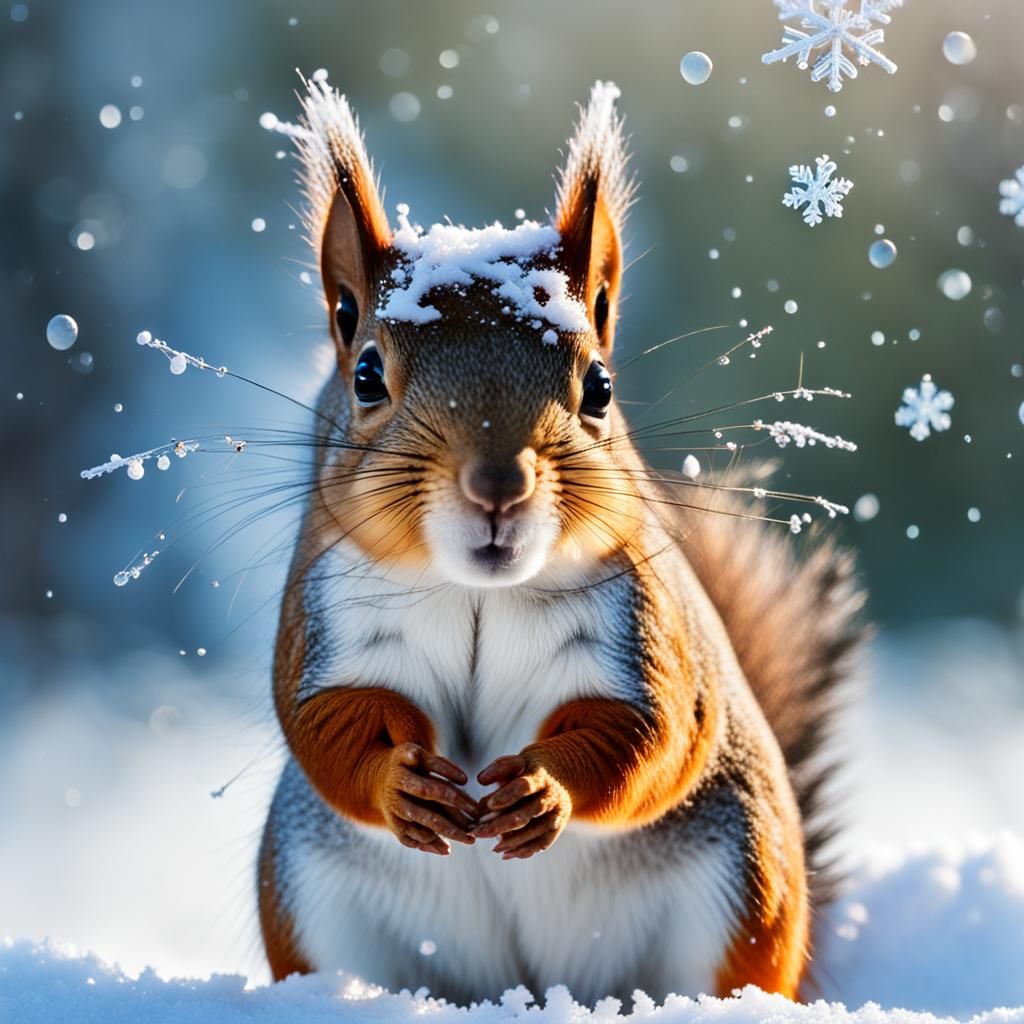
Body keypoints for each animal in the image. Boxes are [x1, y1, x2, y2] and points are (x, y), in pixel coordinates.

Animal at [257, 78, 865, 1004]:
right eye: (365, 375)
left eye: (600, 387)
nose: (498, 487)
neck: (478, 593)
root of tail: (536, 991)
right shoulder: (324, 620)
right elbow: (325, 724)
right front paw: (400, 784)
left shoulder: (647, 631)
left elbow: (653, 736)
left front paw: (546, 789)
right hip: (309, 902)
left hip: (742, 887)